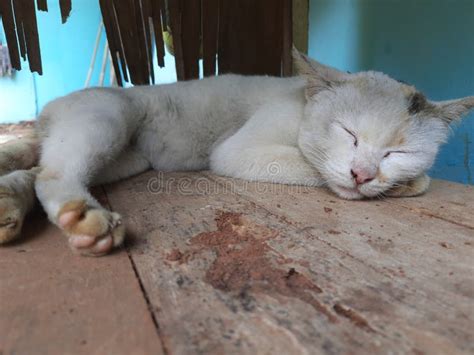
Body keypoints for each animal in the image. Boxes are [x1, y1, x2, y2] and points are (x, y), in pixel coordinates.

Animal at [0, 50, 474, 256]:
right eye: (349, 133)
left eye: (398, 152)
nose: (363, 174)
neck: (302, 102)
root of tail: (49, 113)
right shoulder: (237, 150)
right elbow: (314, 167)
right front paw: (404, 184)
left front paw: (402, 182)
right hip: (110, 116)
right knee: (51, 173)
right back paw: (85, 219)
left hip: (124, 158)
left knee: (38, 167)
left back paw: (10, 205)